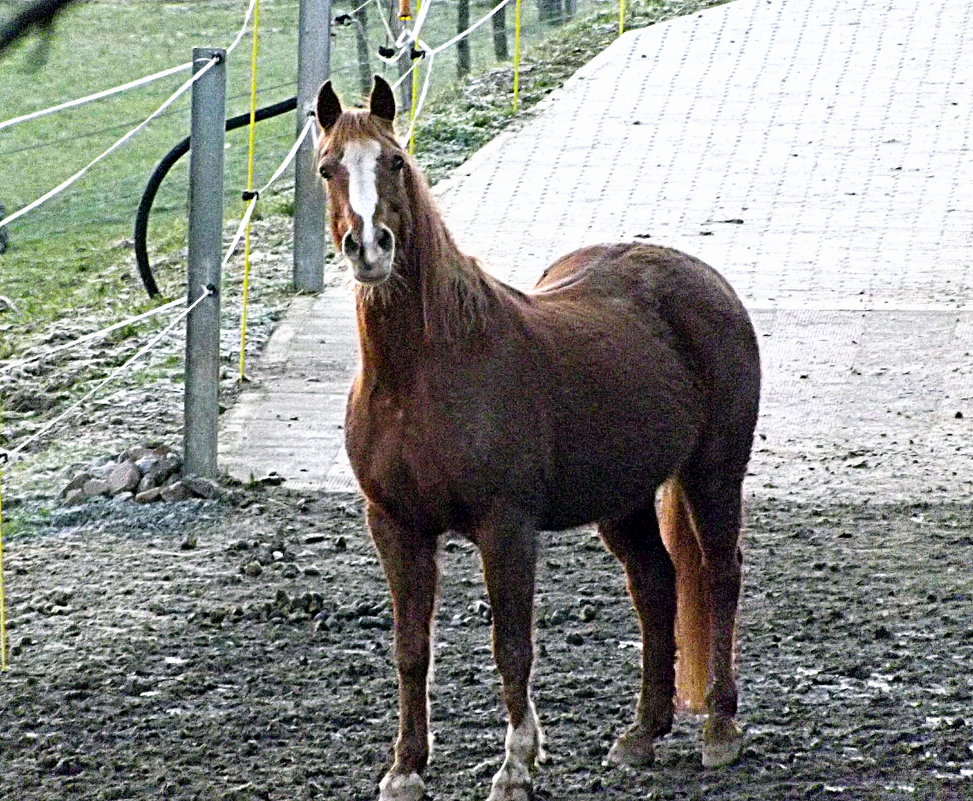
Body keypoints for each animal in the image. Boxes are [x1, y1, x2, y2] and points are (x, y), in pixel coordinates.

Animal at [316, 76, 764, 800]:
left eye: (395, 162)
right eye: (328, 167)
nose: (370, 248)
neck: (421, 373)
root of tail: (702, 279)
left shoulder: (505, 526)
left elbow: (512, 647)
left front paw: (516, 765)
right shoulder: (393, 525)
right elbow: (411, 648)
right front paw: (405, 768)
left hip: (713, 473)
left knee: (720, 575)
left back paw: (719, 729)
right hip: (624, 500)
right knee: (656, 585)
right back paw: (643, 732)